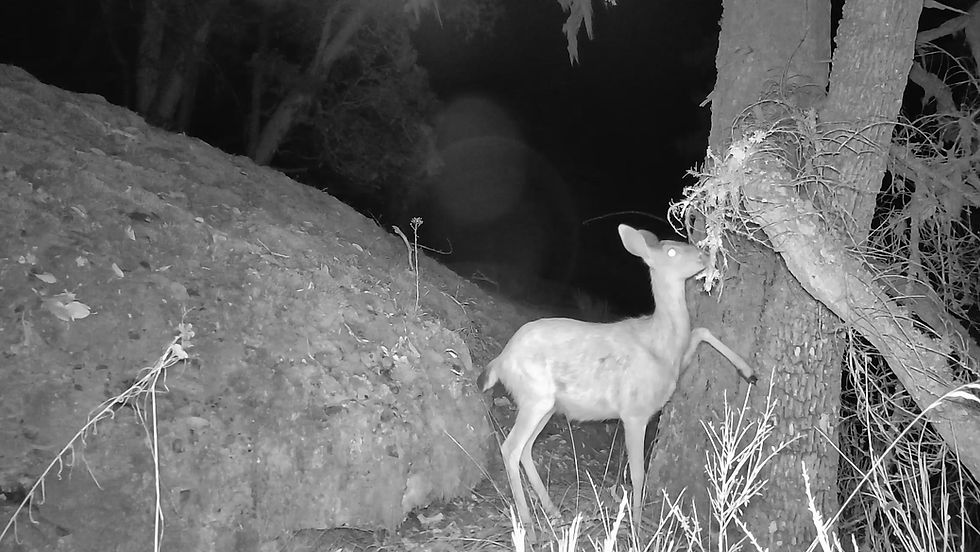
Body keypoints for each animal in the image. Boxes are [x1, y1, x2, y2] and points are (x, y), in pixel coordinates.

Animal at [477, 223, 758, 531]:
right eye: (672, 251)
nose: (705, 256)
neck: (660, 346)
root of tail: (500, 360)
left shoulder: (679, 362)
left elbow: (701, 331)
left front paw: (749, 372)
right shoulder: (634, 411)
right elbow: (637, 473)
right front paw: (636, 525)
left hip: (547, 404)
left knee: (526, 448)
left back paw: (553, 511)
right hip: (534, 395)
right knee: (510, 448)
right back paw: (528, 524)